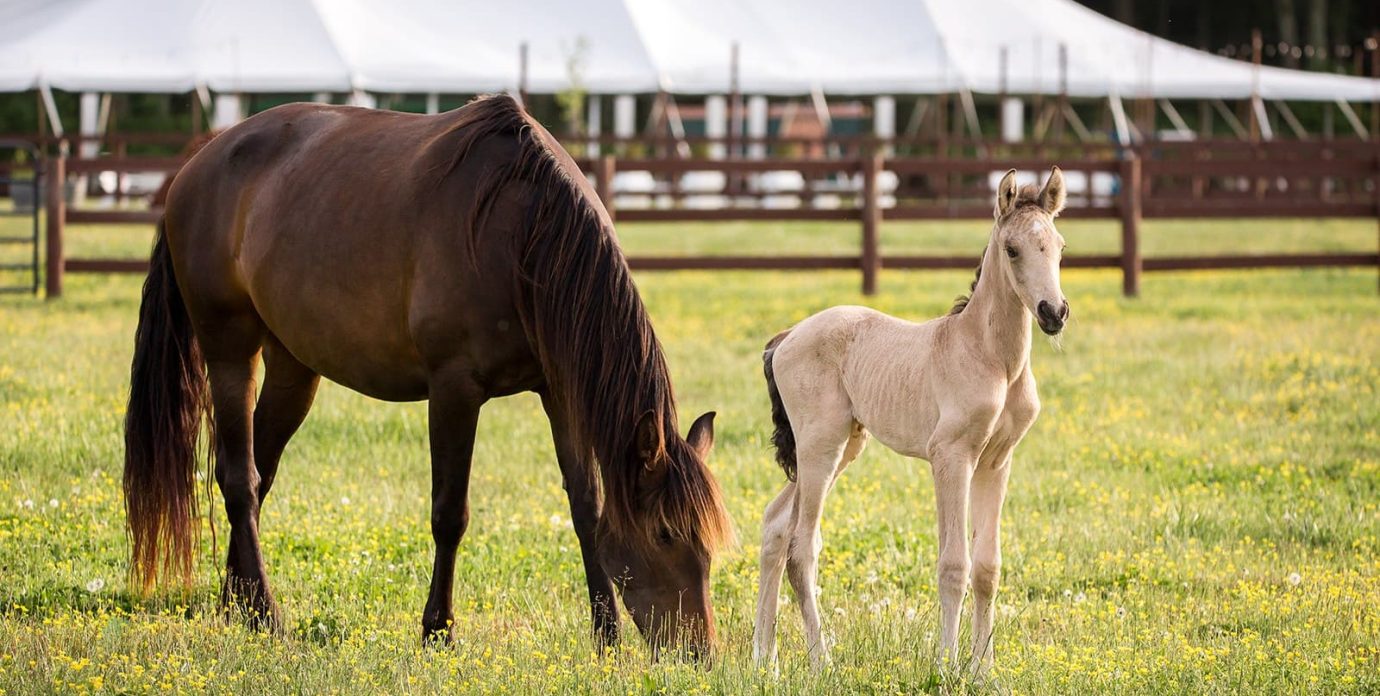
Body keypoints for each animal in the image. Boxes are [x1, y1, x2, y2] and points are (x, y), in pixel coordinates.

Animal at [122, 94, 733, 657]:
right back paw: (267, 615)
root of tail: (199, 163)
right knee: (238, 478)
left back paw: (238, 603)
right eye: (664, 533)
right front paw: (438, 629)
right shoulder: (454, 390)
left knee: (259, 472)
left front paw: (606, 636)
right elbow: (449, 514)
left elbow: (586, 507)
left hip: (294, 367)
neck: (520, 234)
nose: (699, 651)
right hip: (230, 350)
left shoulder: (559, 390)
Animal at [753, 167, 1069, 674]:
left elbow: (987, 567)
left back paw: (766, 660)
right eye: (1012, 249)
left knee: (776, 526)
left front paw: (984, 670)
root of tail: (786, 337)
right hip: (821, 446)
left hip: (843, 446)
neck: (990, 358)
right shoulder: (951, 457)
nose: (1053, 312)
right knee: (801, 548)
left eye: (1059, 247)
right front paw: (946, 665)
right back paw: (823, 662)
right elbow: (954, 565)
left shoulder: (996, 462)